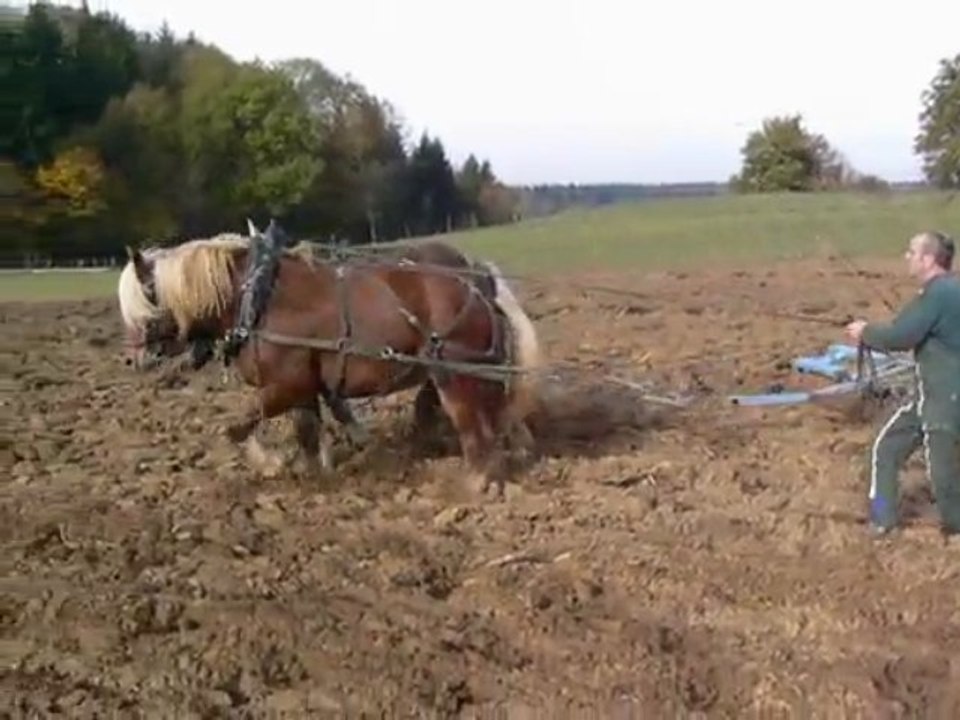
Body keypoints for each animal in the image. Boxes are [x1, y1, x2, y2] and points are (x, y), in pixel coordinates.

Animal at [117, 225, 542, 497]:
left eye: (146, 300)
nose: (137, 361)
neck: (258, 298)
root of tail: (475, 277)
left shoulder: (286, 384)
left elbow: (238, 427)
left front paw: (270, 463)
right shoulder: (303, 387)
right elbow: (306, 431)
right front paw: (317, 474)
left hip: (454, 371)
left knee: (472, 422)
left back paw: (478, 480)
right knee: (488, 412)